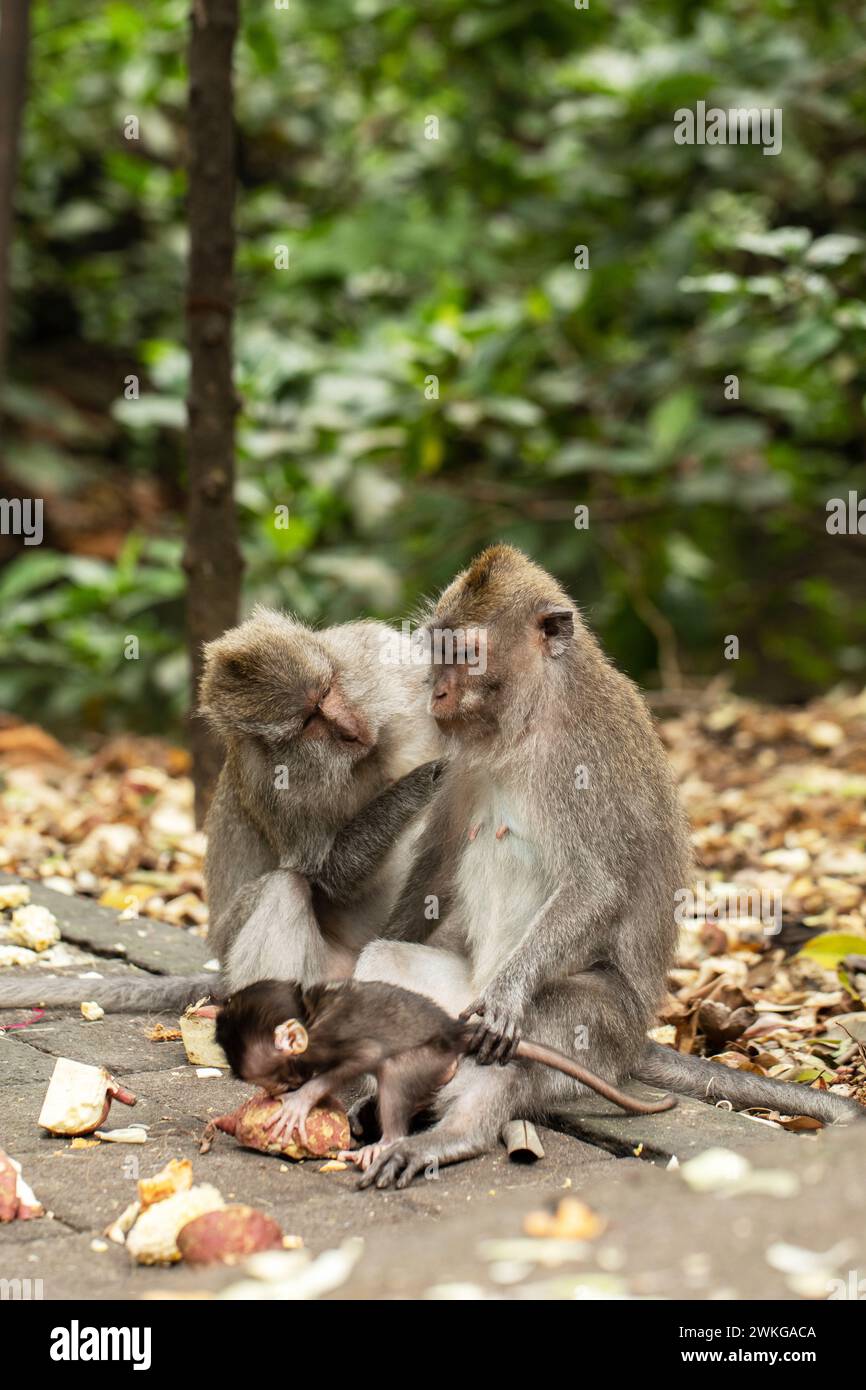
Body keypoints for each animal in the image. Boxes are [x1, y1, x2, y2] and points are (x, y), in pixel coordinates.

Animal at [0, 609, 442, 1014]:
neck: (360, 758)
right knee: (286, 887)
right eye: (309, 719)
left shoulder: (367, 646)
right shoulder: (268, 781)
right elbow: (329, 874)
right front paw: (422, 783)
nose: (350, 730)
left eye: (328, 689)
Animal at [214, 977, 677, 1173]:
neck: (310, 1014)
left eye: (278, 1082)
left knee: (398, 1071)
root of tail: (456, 1032)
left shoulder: (332, 1037)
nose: (282, 1090)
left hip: (436, 1062)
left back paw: (391, 1143)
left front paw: (302, 1101)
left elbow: (364, 1055)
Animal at [349, 544, 863, 1189]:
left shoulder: (583, 759)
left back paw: (457, 1130)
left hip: (606, 1032)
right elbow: (436, 870)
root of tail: (636, 1041)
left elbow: (595, 886)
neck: (529, 721)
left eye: (465, 655)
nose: (435, 696)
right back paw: (379, 1099)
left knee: (546, 1021)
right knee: (386, 968)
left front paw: (508, 998)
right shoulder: (457, 762)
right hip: (449, 1001)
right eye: (437, 652)